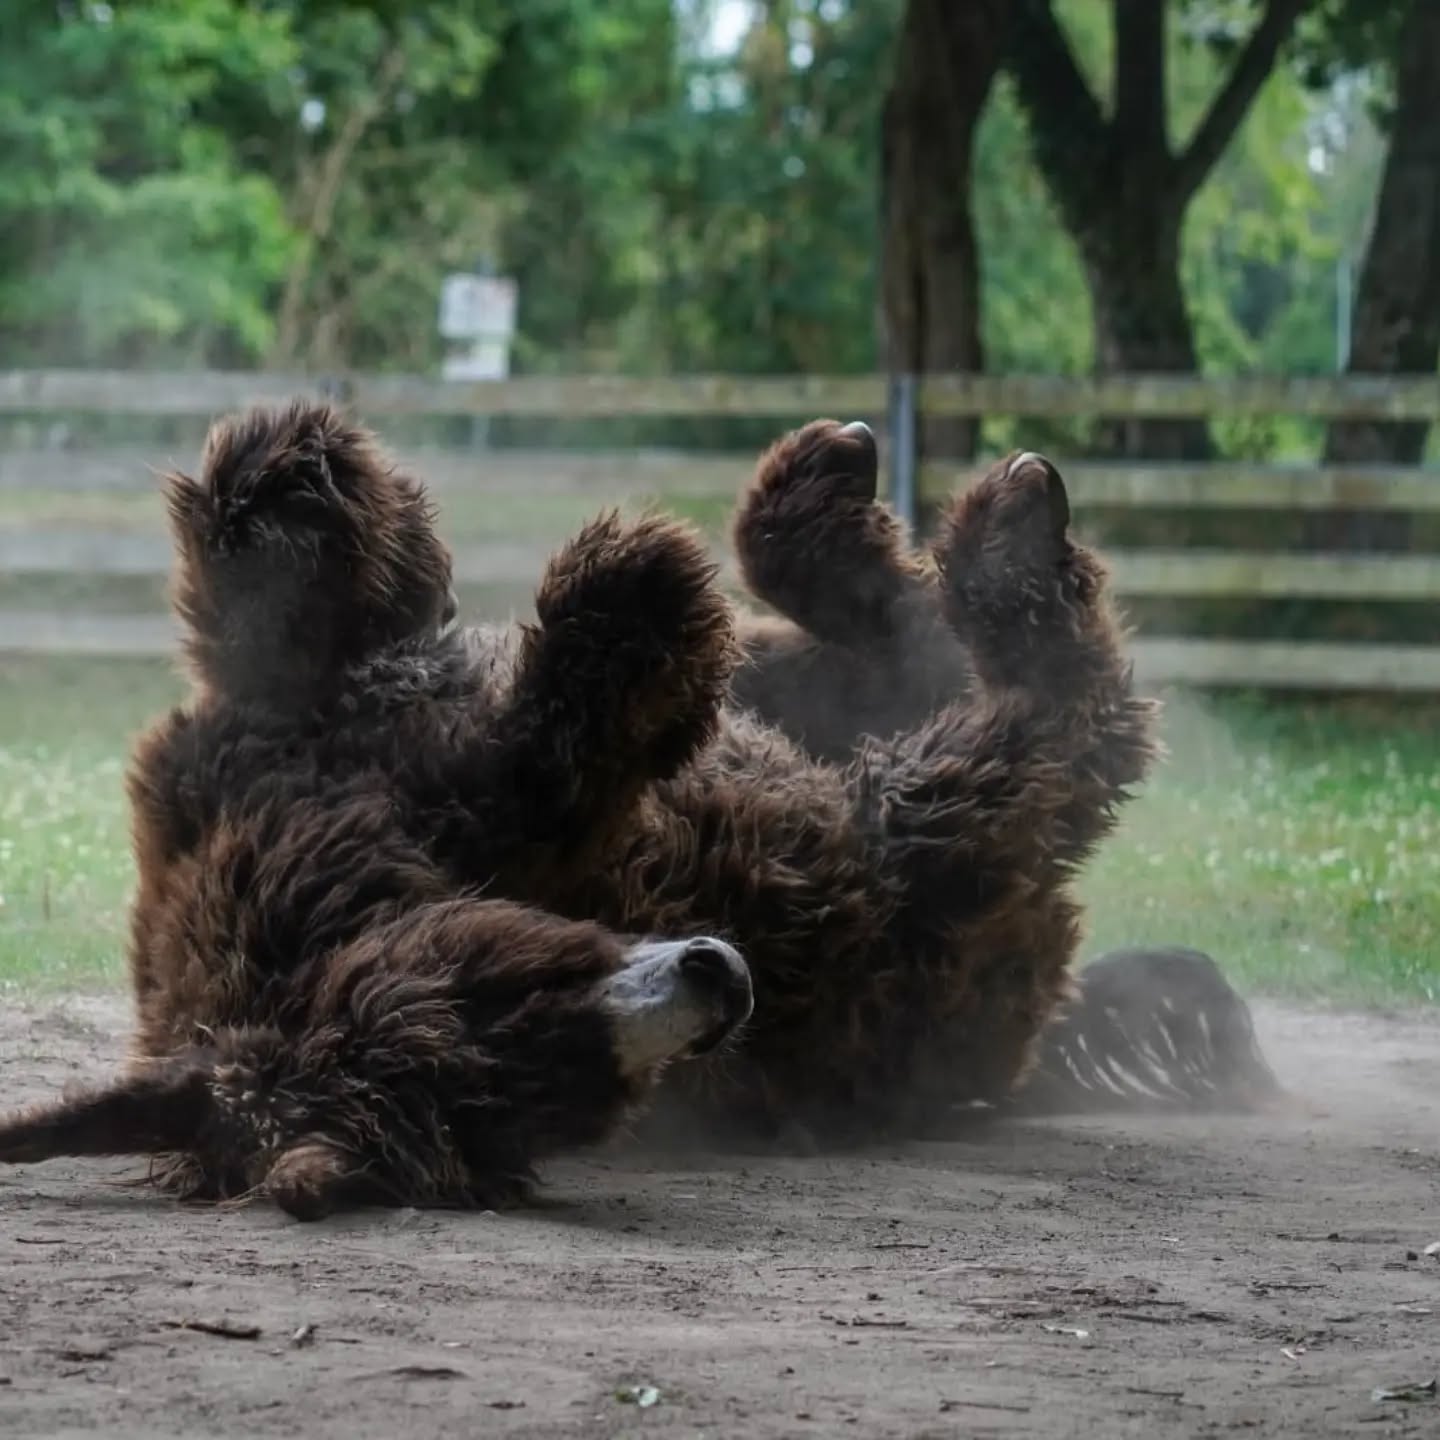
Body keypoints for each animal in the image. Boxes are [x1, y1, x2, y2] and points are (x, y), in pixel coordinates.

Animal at [0, 400, 1156, 1216]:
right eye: (542, 1073)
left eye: (494, 982)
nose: (719, 978)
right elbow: (550, 758)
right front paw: (634, 594)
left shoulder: (236, 763)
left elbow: (279, 611)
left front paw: (300, 488)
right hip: (907, 886)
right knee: (1039, 732)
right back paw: (998, 554)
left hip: (825, 743)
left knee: (867, 642)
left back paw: (829, 503)